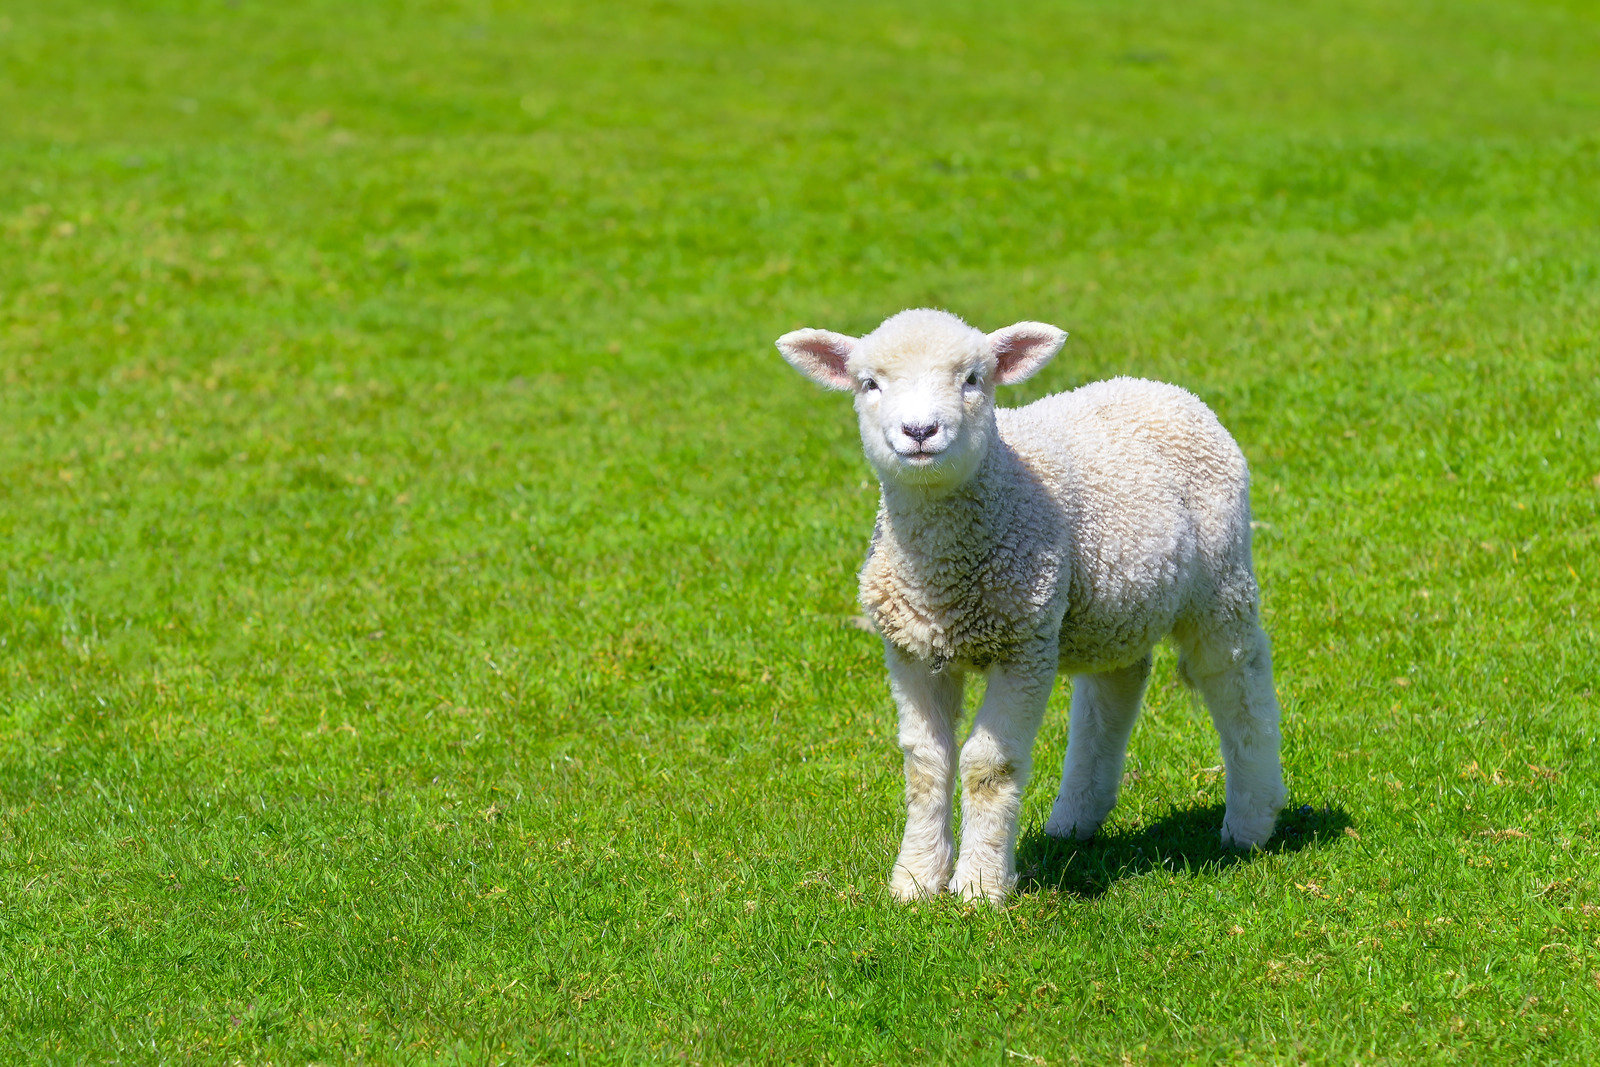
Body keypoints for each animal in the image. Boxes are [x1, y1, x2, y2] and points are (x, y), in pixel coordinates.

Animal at [775, 308, 1287, 904]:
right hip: (1111, 602)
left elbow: (988, 766)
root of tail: (1160, 387)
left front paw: (978, 886)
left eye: (974, 379)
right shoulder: (910, 649)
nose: (920, 432)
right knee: (1116, 684)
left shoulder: (1024, 645)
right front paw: (916, 880)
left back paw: (1251, 821)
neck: (946, 576)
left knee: (1236, 677)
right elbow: (925, 764)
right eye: (868, 384)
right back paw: (1076, 817)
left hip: (1220, 577)